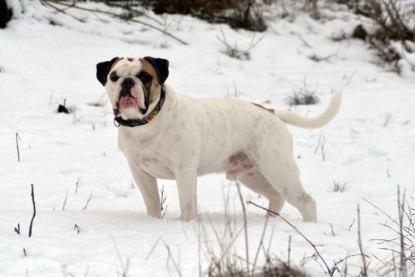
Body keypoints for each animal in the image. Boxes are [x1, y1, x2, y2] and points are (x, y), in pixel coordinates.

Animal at [96, 55, 342, 220]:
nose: (128, 82)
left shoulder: (184, 170)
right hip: (253, 175)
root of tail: (271, 112)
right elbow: (153, 204)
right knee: (276, 196)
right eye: (114, 76)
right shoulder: (141, 173)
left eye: (145, 76)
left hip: (279, 169)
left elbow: (187, 204)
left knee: (306, 202)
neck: (147, 122)